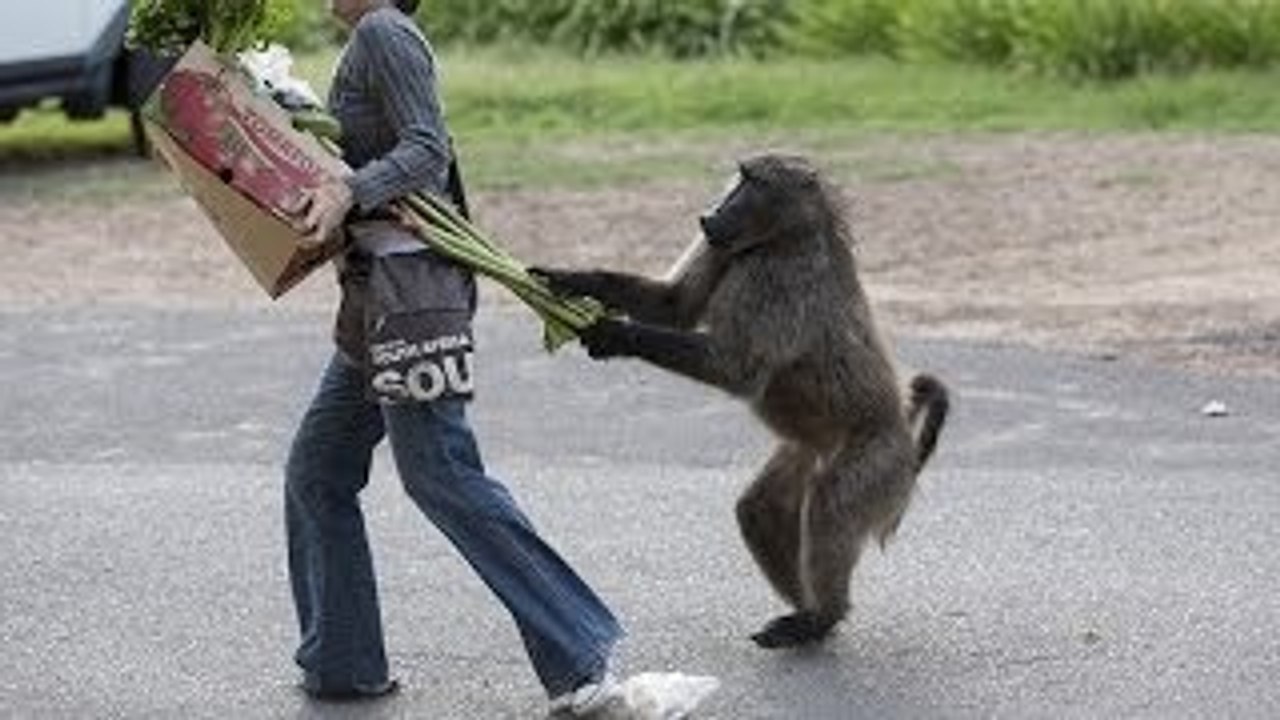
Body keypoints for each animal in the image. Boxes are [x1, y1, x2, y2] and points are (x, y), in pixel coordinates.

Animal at [532, 153, 949, 648]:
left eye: (753, 183)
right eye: (740, 177)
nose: (708, 216)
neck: (783, 238)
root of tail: (902, 426)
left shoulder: (782, 281)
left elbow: (736, 370)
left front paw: (610, 333)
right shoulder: (724, 248)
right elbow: (673, 306)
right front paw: (566, 280)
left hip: (874, 460)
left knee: (829, 507)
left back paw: (822, 618)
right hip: (807, 450)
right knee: (760, 511)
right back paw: (807, 613)